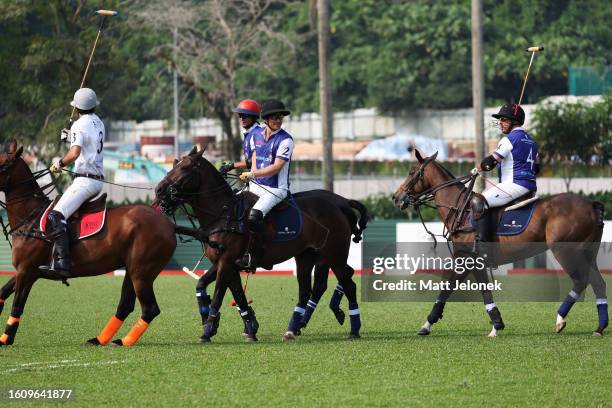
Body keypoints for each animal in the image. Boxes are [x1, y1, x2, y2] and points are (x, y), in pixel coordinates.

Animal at [0, 140, 177, 348]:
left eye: (3, 165)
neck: (30, 218)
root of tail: (169, 225)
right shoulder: (28, 271)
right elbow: (3, 292)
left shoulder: (26, 270)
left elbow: (17, 305)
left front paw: (5, 339)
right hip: (132, 269)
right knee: (126, 305)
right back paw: (100, 339)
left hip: (142, 271)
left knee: (150, 308)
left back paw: (123, 341)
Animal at [152, 148, 368, 342]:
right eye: (174, 163)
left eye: (185, 168)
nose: (158, 190)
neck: (222, 214)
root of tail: (340, 203)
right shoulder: (226, 264)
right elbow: (225, 291)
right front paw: (248, 326)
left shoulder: (226, 262)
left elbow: (219, 295)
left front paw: (207, 331)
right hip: (306, 255)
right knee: (308, 289)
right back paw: (294, 328)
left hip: (334, 254)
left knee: (348, 283)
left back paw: (353, 328)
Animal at [392, 148, 608, 336]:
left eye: (412, 172)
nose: (395, 197)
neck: (460, 208)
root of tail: (592, 205)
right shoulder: (469, 260)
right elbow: (463, 290)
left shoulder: (469, 258)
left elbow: (464, 290)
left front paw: (495, 326)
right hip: (588, 252)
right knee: (597, 282)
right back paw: (599, 327)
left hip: (566, 251)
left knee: (581, 281)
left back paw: (560, 319)